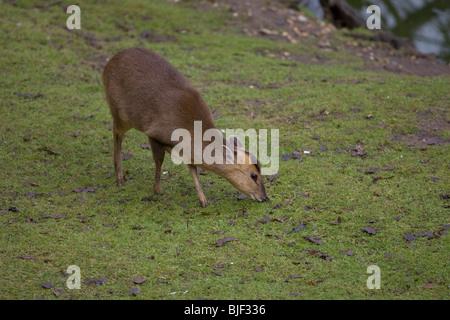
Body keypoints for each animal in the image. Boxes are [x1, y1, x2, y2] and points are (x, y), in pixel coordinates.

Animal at [102, 48, 268, 208]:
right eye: (253, 175)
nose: (264, 197)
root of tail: (107, 65)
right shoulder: (154, 133)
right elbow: (159, 161)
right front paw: (157, 190)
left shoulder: (187, 152)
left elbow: (193, 170)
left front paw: (203, 200)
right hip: (120, 113)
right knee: (116, 133)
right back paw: (119, 177)